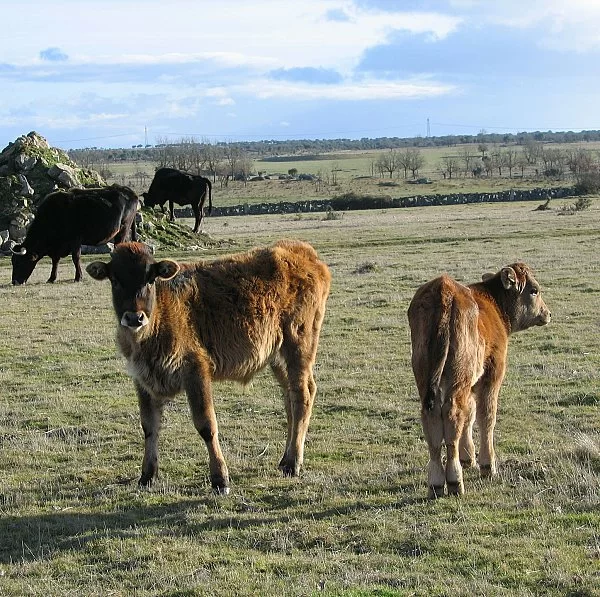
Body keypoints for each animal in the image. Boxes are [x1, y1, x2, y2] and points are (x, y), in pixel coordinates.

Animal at [88, 239, 332, 494]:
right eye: (115, 279)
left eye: (150, 278)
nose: (135, 318)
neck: (159, 318)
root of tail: (303, 252)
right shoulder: (142, 380)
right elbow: (149, 427)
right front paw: (146, 476)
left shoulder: (196, 371)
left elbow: (206, 425)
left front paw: (220, 479)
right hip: (277, 356)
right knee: (290, 398)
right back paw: (286, 459)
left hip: (298, 346)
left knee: (302, 396)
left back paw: (293, 463)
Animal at [406, 264, 552, 496]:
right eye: (534, 290)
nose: (547, 313)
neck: (494, 305)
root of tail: (444, 291)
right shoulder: (492, 375)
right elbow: (486, 417)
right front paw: (487, 464)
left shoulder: (471, 385)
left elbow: (470, 415)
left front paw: (468, 458)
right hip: (459, 377)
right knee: (453, 414)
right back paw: (454, 480)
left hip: (427, 377)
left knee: (434, 420)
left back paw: (436, 482)